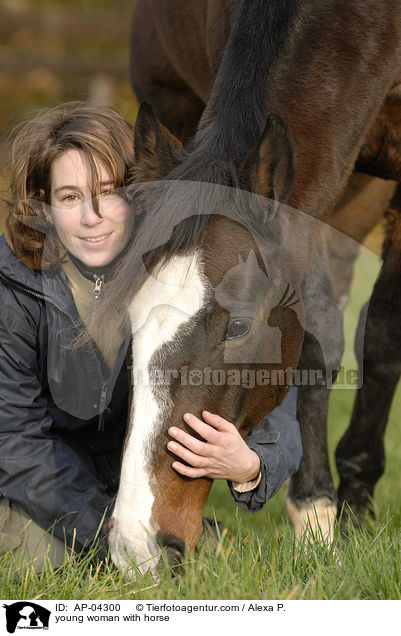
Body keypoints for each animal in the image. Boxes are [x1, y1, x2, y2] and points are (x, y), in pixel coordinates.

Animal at [127, 0, 400, 540]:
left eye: (237, 327)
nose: (139, 536)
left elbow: (381, 335)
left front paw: (339, 507)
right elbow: (319, 336)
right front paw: (319, 509)